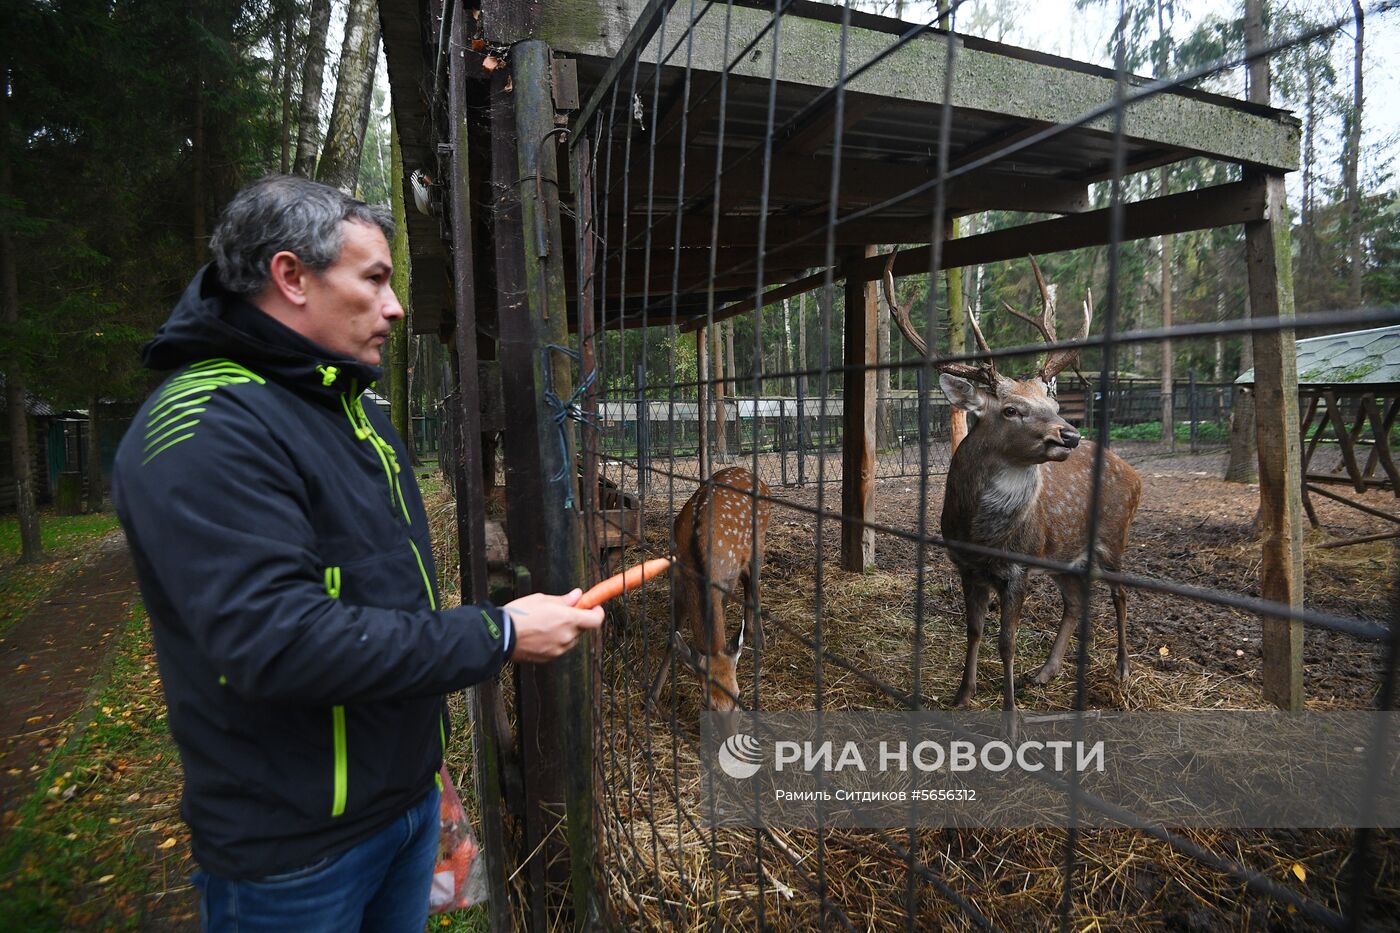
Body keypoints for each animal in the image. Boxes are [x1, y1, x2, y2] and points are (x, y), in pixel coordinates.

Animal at [646, 465, 772, 711]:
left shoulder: (725, 583)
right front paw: (653, 697)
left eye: (739, 695)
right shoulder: (677, 584)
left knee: (756, 585)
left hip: (759, 541)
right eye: (707, 703)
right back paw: (749, 632)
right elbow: (671, 640)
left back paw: (760, 640)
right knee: (748, 583)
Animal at [884, 254, 1136, 711]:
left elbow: (1007, 642)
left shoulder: (1019, 566)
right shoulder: (965, 564)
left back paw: (1122, 670)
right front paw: (961, 695)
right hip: (1062, 553)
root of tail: (1135, 476)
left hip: (1113, 537)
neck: (984, 535)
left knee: (1120, 594)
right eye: (1011, 410)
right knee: (1076, 601)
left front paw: (1010, 710)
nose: (1069, 435)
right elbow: (975, 630)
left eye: (1053, 402)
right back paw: (1045, 673)